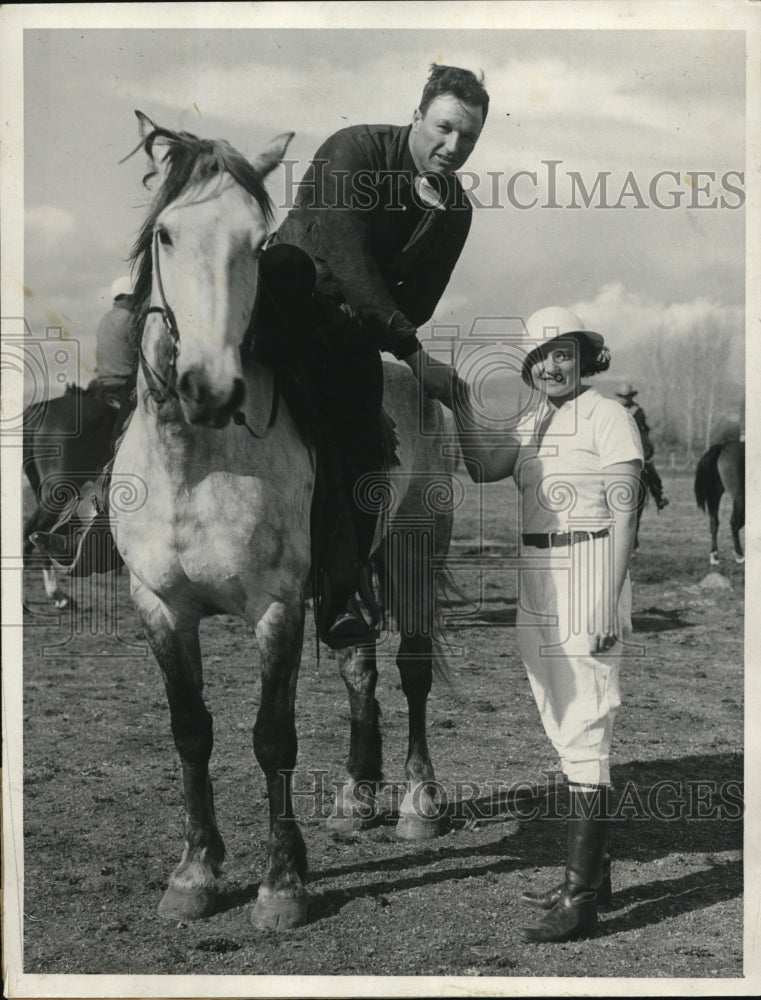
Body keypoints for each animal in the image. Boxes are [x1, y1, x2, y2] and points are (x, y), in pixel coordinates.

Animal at [111, 115, 458, 928]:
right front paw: (195, 872)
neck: (194, 459)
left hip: (412, 554)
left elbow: (272, 737)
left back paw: (417, 801)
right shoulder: (160, 606)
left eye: (253, 241)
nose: (209, 386)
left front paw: (281, 884)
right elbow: (191, 730)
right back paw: (357, 796)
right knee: (361, 666)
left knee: (411, 670)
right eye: (166, 234)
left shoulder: (275, 607)